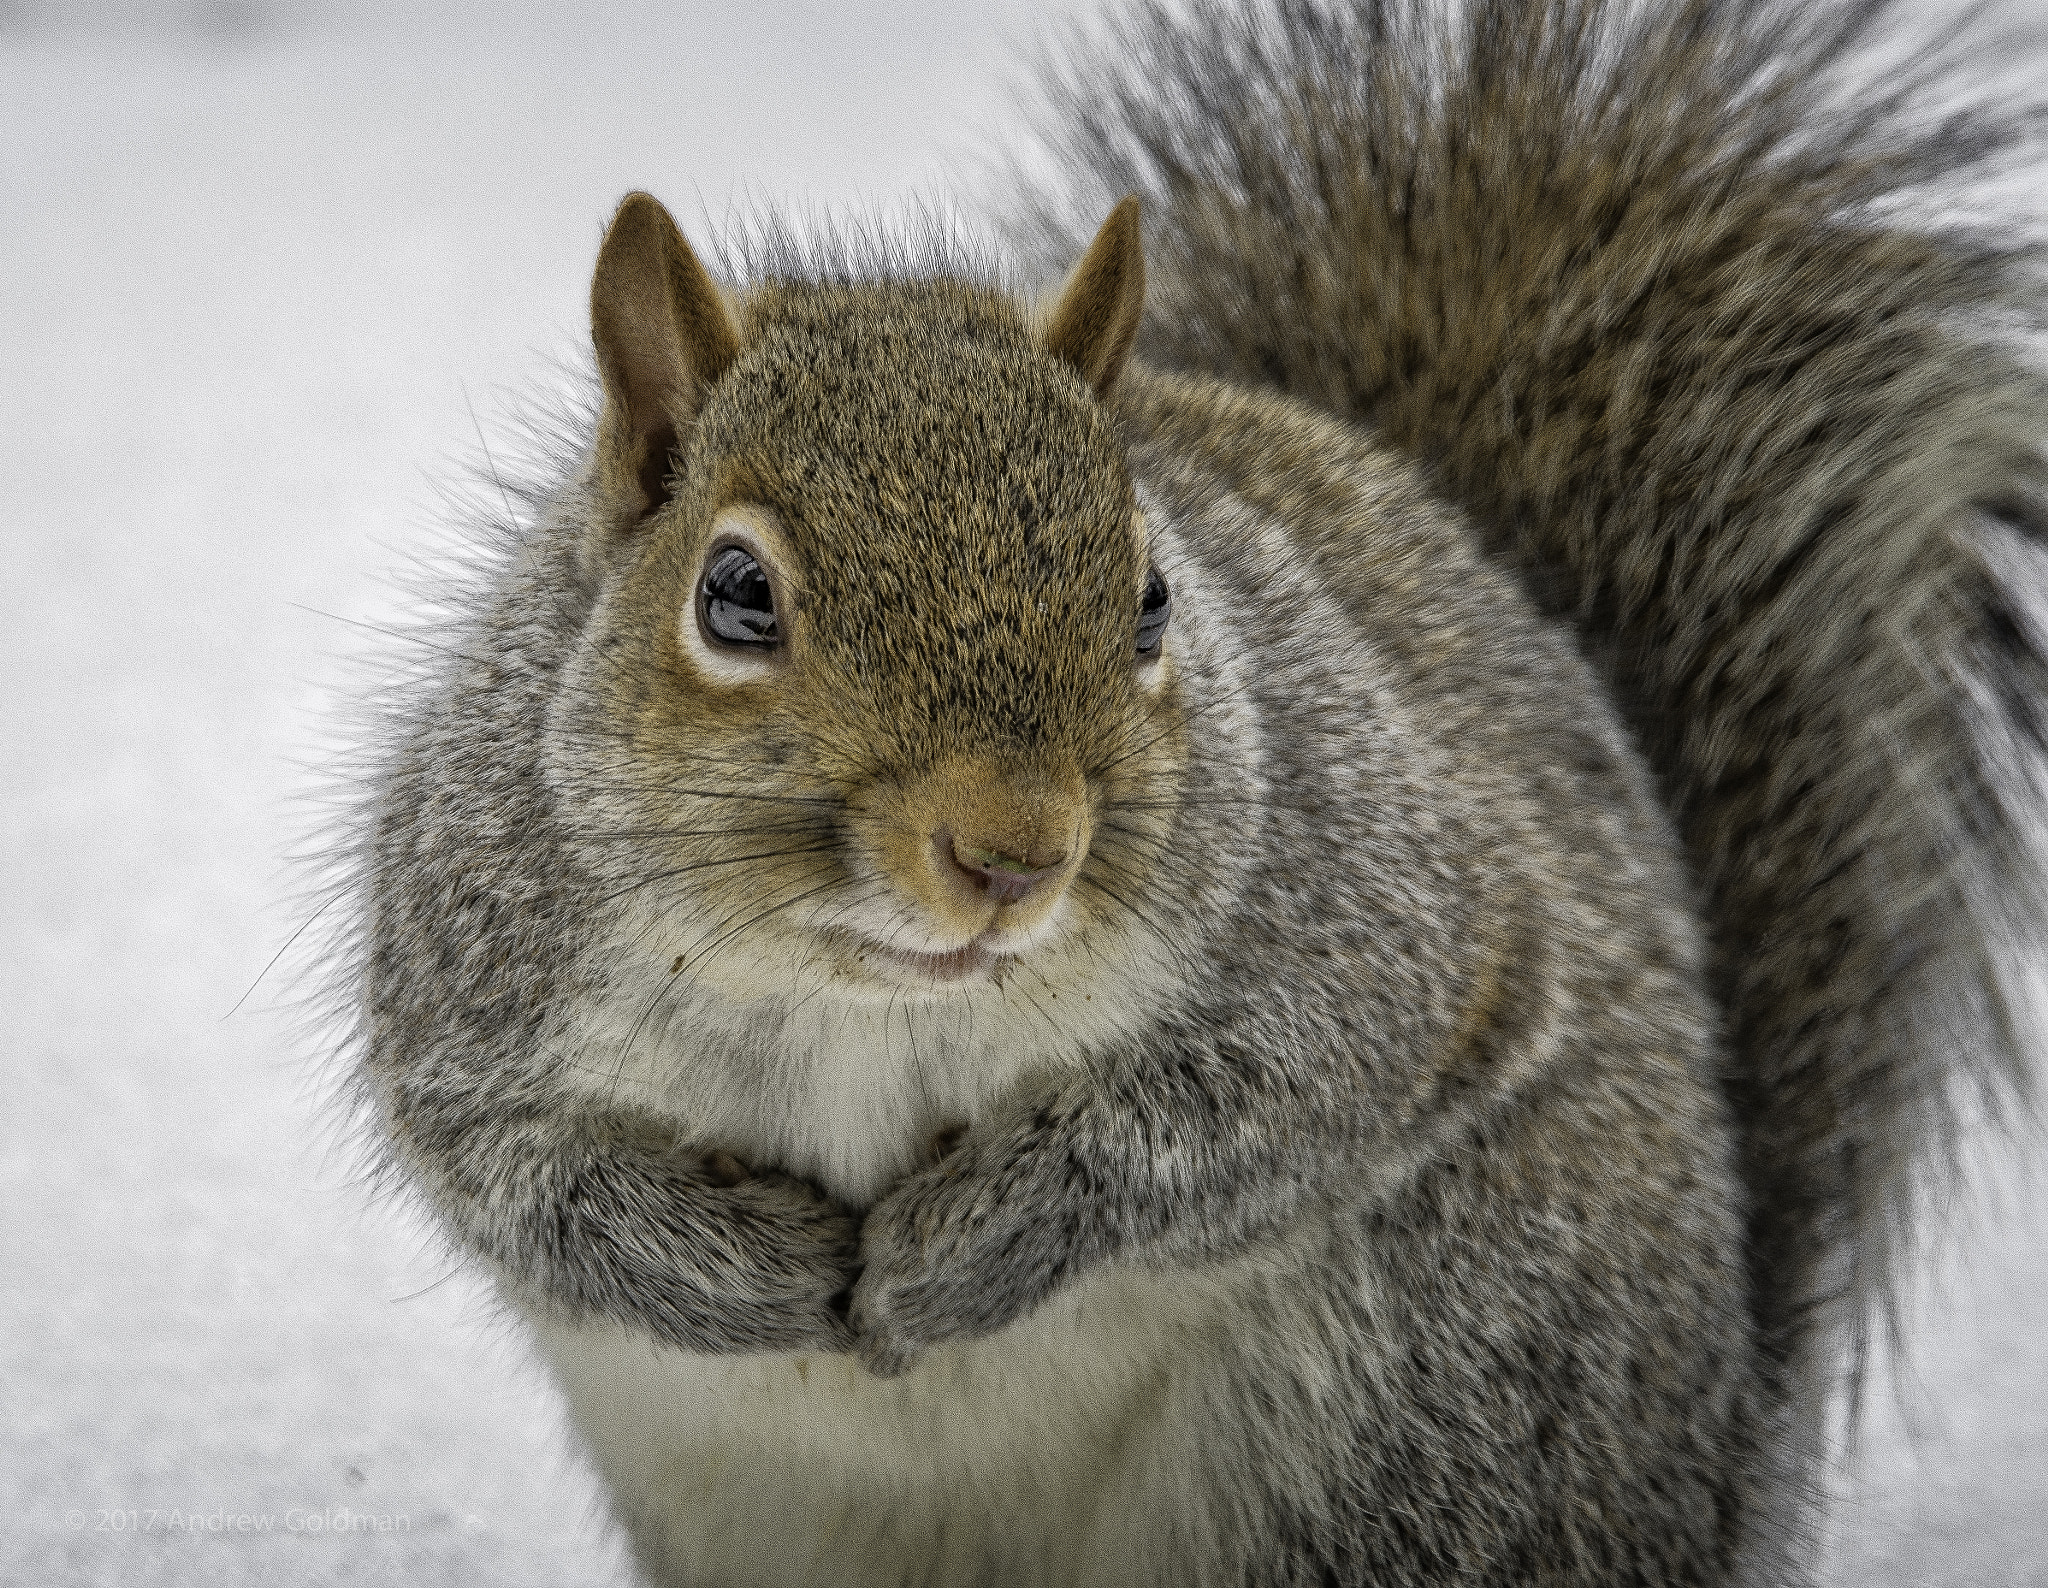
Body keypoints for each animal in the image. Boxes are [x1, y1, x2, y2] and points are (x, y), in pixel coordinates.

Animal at [335, 0, 2048, 1581]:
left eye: (1155, 599)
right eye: (737, 596)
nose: (1015, 852)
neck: (870, 1000)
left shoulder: (1385, 924)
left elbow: (1249, 1111)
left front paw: (965, 1248)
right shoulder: (471, 970)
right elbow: (517, 1175)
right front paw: (736, 1268)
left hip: (1434, 1395)